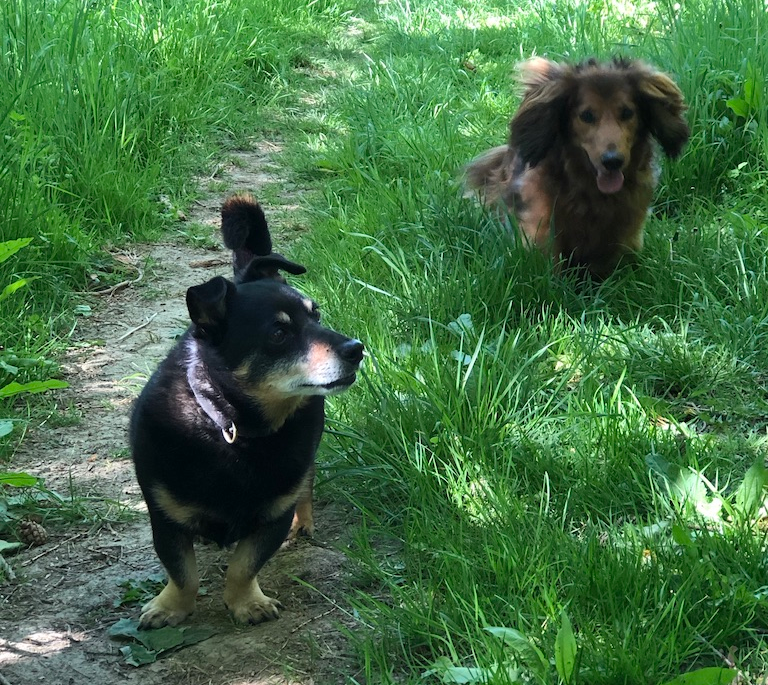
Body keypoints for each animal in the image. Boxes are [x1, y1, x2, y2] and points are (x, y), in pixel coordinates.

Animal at [129, 192, 364, 624]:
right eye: (279, 332)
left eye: (317, 315)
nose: (357, 349)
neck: (234, 428)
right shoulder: (164, 516)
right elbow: (182, 570)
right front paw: (171, 607)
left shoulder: (273, 513)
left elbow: (244, 564)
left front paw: (247, 602)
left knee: (307, 482)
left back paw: (303, 521)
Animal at [464, 56, 692, 276]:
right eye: (587, 115)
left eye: (627, 113)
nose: (612, 161)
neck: (592, 192)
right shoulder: (541, 229)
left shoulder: (628, 232)